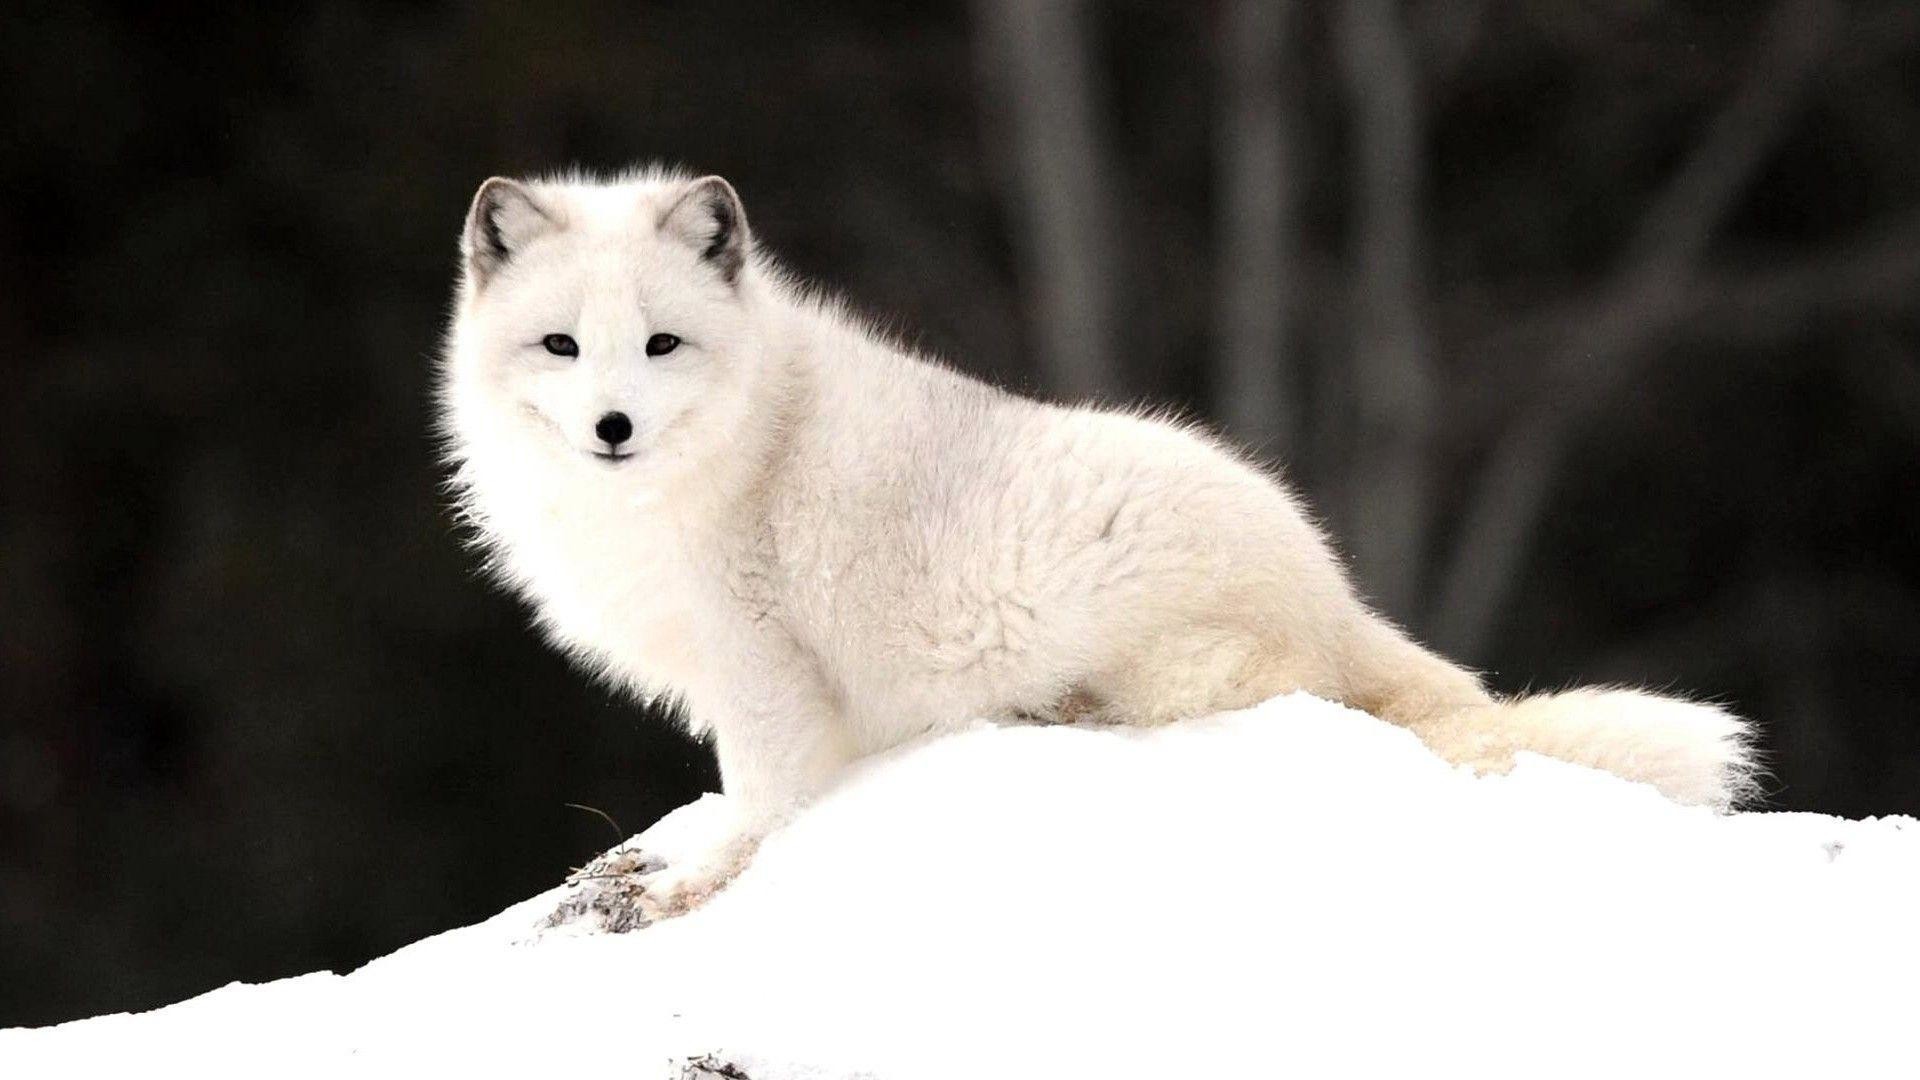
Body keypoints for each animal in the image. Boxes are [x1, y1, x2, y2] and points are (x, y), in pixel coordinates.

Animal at [438, 166, 1758, 931]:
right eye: (562, 346)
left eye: (662, 344)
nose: (613, 428)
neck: (741, 438)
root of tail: (1334, 588)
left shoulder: (759, 664)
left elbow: (761, 800)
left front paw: (688, 884)